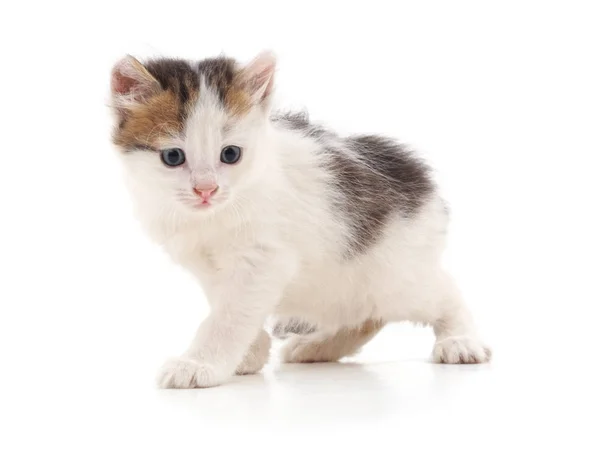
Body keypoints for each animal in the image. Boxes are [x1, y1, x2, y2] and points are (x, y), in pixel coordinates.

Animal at [109, 51, 492, 388]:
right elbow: (227, 304)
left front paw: (199, 363)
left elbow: (229, 315)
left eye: (230, 154)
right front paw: (251, 352)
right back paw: (317, 347)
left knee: (443, 291)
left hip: (392, 276)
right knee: (366, 317)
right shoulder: (207, 266)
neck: (212, 217)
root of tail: (426, 190)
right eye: (173, 157)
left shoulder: (264, 259)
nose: (206, 189)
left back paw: (460, 341)